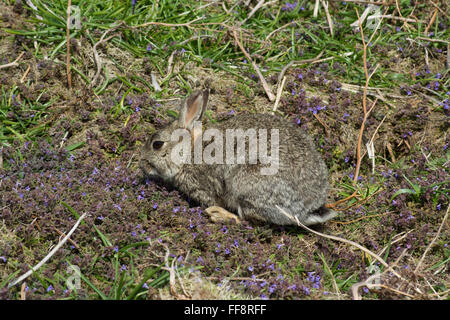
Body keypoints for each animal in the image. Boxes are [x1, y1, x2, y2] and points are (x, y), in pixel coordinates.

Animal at [139, 89, 336, 226]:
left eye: (157, 144)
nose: (142, 165)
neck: (188, 152)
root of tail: (306, 209)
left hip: (246, 186)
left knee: (246, 219)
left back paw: (217, 214)